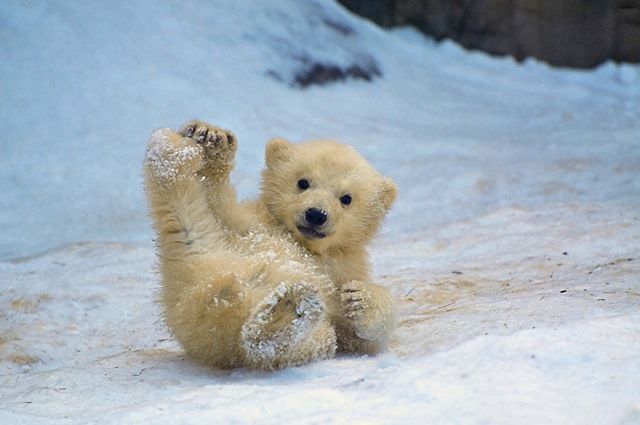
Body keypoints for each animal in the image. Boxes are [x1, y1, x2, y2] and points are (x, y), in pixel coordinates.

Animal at [143, 120, 397, 370]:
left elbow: (358, 337)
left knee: (305, 341)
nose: (316, 214)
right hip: (204, 255)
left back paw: (287, 313)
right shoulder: (250, 223)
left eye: (346, 198)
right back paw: (171, 150)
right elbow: (219, 206)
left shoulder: (344, 266)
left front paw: (360, 298)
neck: (304, 244)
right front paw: (212, 138)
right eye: (302, 182)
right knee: (186, 215)